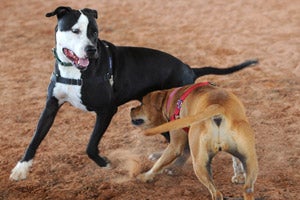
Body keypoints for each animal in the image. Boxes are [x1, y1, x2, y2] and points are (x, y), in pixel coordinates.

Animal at [9, 6, 258, 181]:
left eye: (95, 32)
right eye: (75, 30)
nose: (91, 49)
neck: (75, 71)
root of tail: (190, 69)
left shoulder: (106, 110)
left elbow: (90, 145)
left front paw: (104, 163)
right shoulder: (50, 106)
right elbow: (35, 138)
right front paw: (21, 168)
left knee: (183, 146)